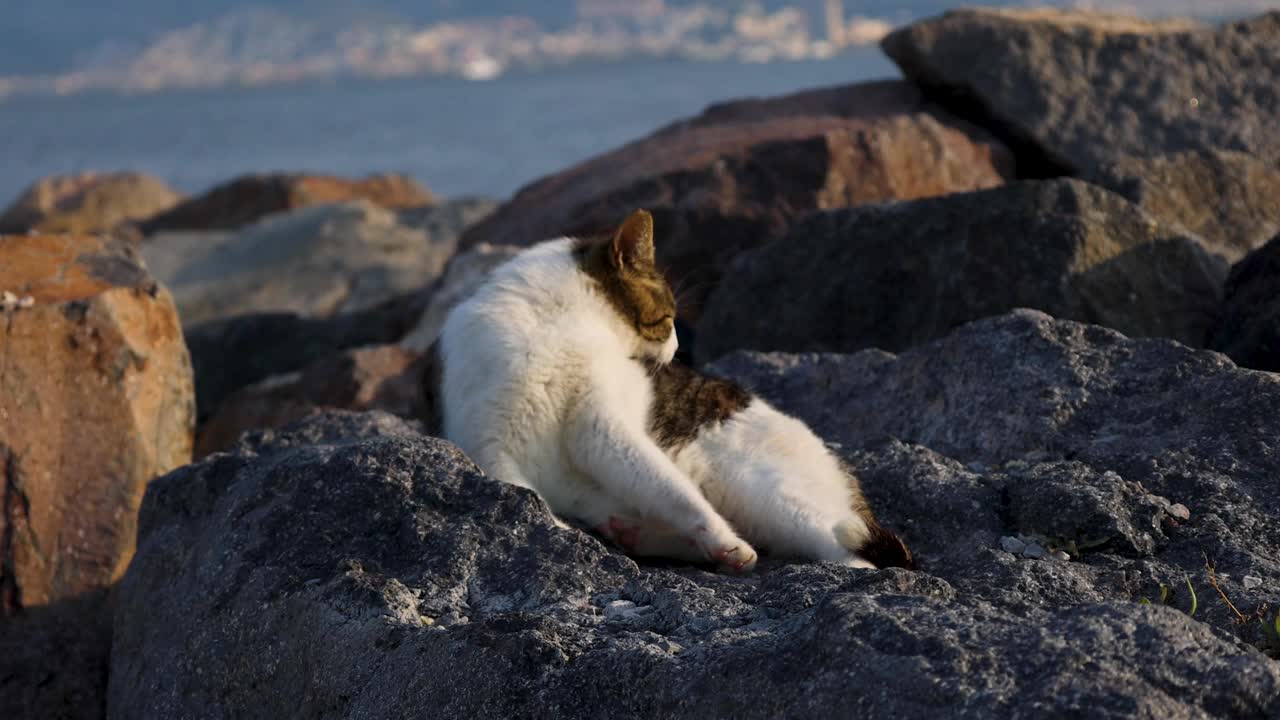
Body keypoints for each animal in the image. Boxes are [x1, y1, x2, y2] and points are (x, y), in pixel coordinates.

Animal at [437, 208, 911, 571]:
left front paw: (723, 541)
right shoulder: (492, 444)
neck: (557, 322)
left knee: (851, 554)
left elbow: (669, 488)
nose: (678, 349)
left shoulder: (600, 421)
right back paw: (640, 534)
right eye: (666, 318)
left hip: (771, 497)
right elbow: (532, 501)